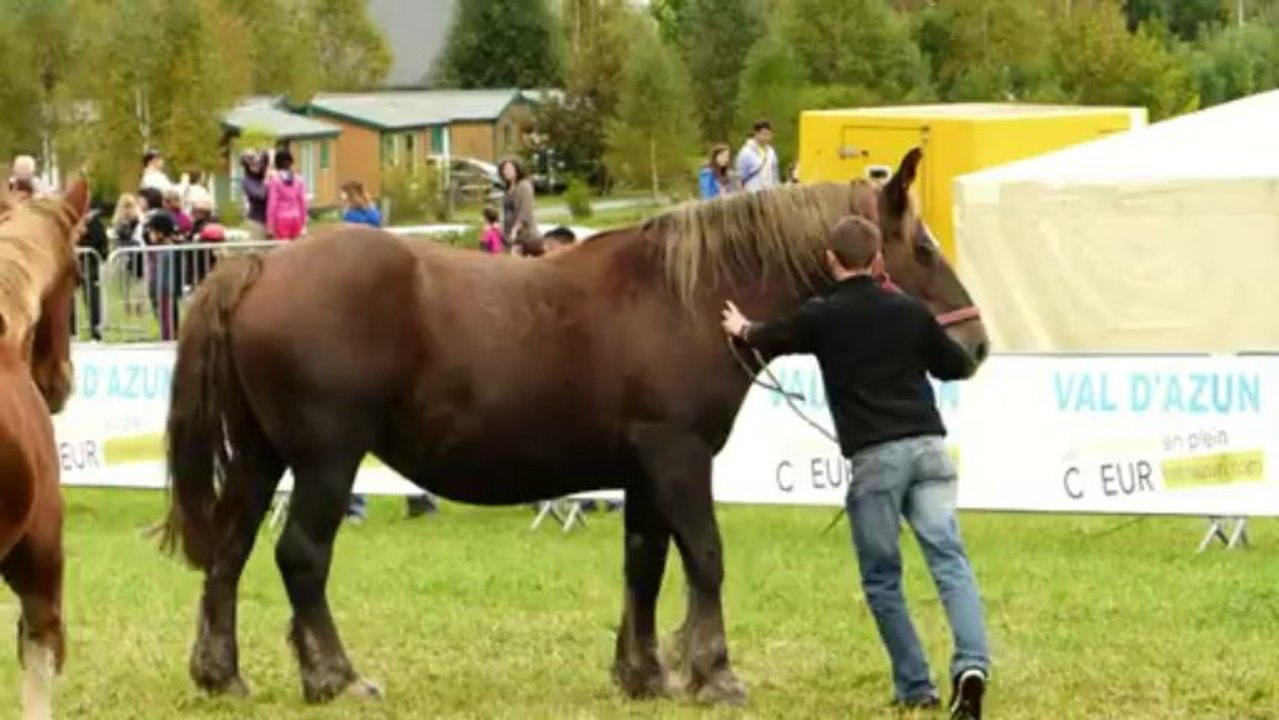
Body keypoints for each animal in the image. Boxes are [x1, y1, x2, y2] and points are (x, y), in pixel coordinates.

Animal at [159, 147, 989, 706]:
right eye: (922, 247)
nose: (974, 346)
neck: (684, 298)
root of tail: (260, 267)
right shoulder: (679, 457)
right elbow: (705, 557)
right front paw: (714, 672)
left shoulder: (644, 471)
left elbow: (643, 565)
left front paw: (643, 672)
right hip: (327, 460)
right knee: (300, 557)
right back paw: (334, 676)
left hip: (261, 456)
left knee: (230, 553)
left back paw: (221, 672)